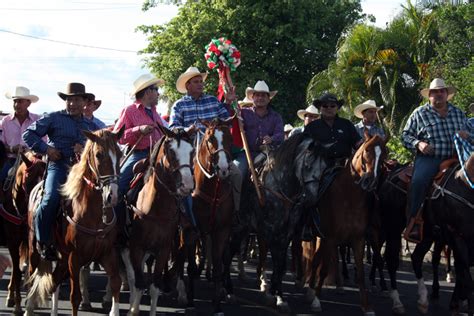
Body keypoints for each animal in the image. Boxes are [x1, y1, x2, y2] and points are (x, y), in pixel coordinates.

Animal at [0, 153, 45, 314]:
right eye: (28, 178)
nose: (36, 199)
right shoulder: (12, 241)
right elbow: (17, 272)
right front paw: (18, 305)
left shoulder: (30, 241)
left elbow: (26, 270)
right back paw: (11, 297)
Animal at [24, 127, 123, 314]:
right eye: (98, 154)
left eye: (120, 153)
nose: (112, 195)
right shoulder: (74, 258)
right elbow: (75, 297)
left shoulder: (108, 253)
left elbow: (115, 284)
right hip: (35, 250)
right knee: (32, 278)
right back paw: (27, 308)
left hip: (61, 259)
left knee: (53, 283)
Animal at [122, 126, 196, 316]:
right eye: (171, 151)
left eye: (192, 151)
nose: (187, 185)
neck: (156, 208)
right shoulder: (136, 247)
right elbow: (139, 283)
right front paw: (133, 310)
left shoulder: (163, 249)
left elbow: (154, 286)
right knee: (132, 276)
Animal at [306, 134, 386, 316]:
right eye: (367, 150)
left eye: (384, 154)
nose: (369, 181)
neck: (349, 197)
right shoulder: (331, 238)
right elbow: (324, 269)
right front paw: (316, 301)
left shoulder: (358, 240)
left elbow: (361, 274)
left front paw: (366, 306)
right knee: (314, 260)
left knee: (316, 259)